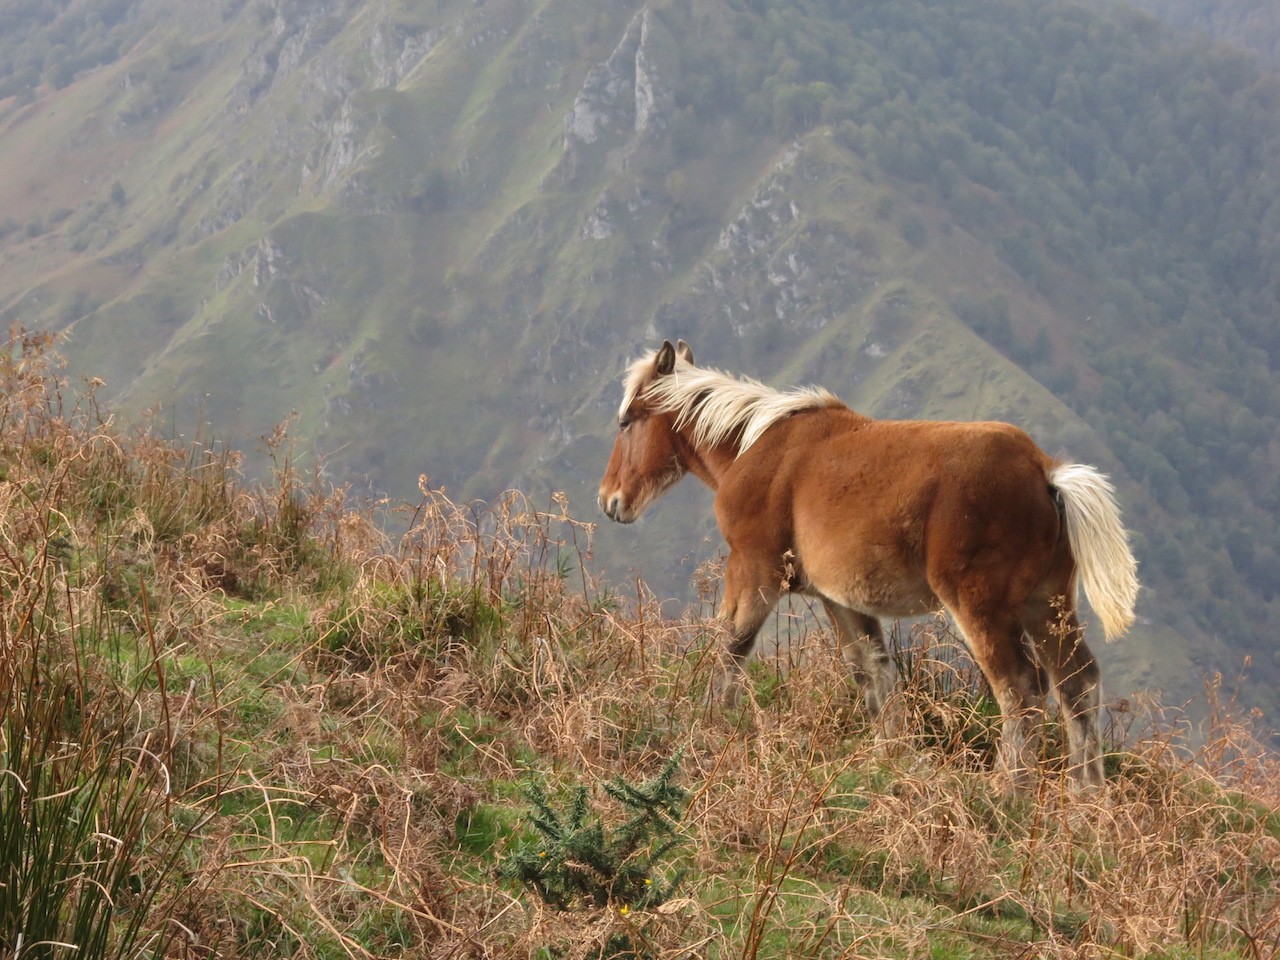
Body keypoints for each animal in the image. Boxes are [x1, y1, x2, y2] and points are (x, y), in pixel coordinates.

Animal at [599, 343, 1141, 793]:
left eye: (627, 420)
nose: (610, 500)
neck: (755, 448)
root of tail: (1043, 471)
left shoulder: (755, 573)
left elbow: (730, 650)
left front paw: (707, 723)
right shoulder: (839, 599)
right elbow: (873, 674)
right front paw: (891, 757)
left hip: (982, 609)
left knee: (1021, 691)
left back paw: (1009, 793)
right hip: (1044, 605)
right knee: (1077, 684)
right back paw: (1087, 798)